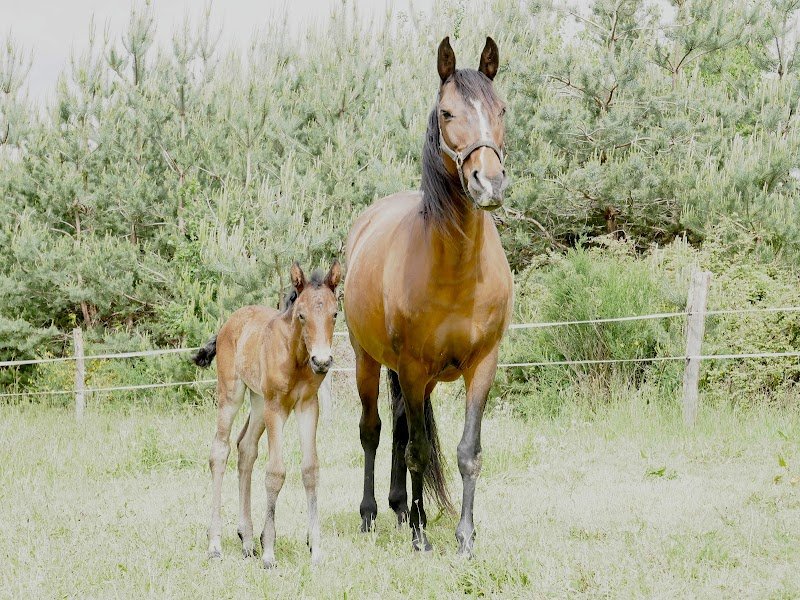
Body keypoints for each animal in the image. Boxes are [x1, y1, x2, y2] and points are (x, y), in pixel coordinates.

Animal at [193, 260, 341, 567]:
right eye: (301, 315)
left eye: (334, 314)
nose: (322, 361)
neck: (296, 356)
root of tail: (227, 324)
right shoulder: (277, 407)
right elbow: (275, 472)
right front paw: (270, 552)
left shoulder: (308, 405)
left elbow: (310, 469)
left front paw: (316, 550)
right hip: (232, 394)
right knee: (220, 450)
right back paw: (215, 545)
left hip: (258, 402)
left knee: (246, 448)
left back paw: (247, 540)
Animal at [343, 36, 513, 555]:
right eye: (447, 113)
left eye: (501, 108)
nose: (489, 183)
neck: (455, 270)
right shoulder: (414, 368)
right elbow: (418, 449)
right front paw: (421, 535)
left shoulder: (481, 366)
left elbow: (466, 452)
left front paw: (465, 536)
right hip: (371, 363)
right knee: (375, 432)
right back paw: (375, 513)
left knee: (400, 431)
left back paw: (401, 508)